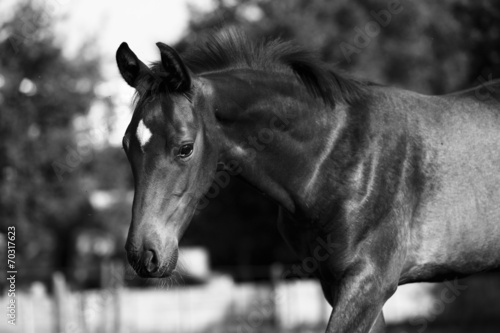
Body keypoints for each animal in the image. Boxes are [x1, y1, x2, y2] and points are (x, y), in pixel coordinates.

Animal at [115, 29, 500, 332]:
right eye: (126, 145)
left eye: (185, 148)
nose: (144, 255)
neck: (336, 157)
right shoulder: (336, 284)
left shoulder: (370, 282)